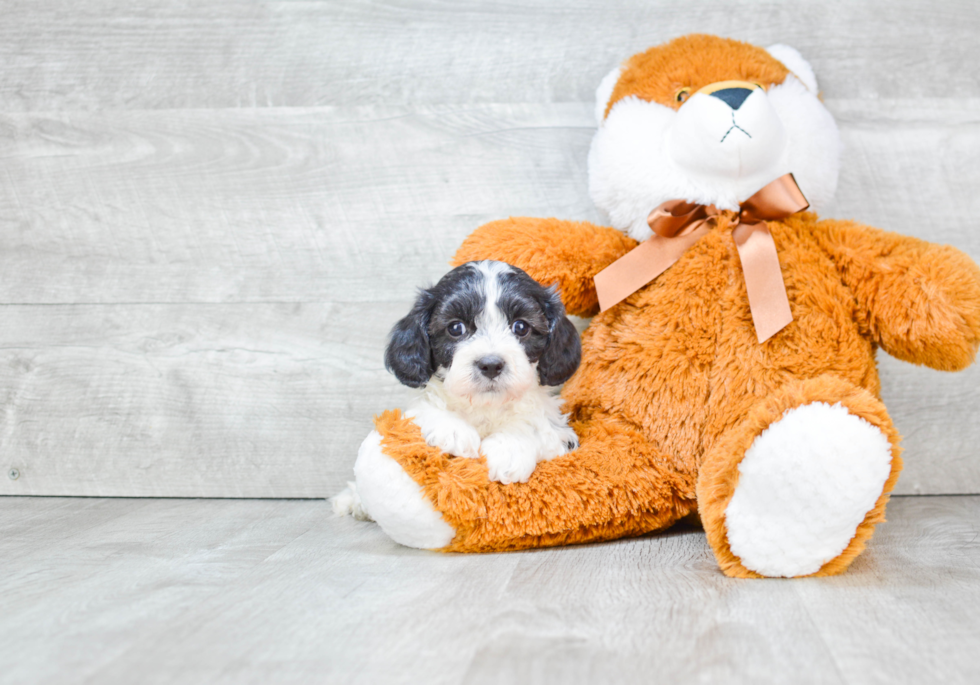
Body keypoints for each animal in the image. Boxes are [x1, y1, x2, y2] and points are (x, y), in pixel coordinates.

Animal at [336, 262, 580, 520]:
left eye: (521, 327)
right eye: (456, 328)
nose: (491, 364)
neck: (484, 405)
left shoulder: (561, 436)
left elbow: (532, 422)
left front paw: (509, 447)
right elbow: (425, 408)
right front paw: (452, 430)